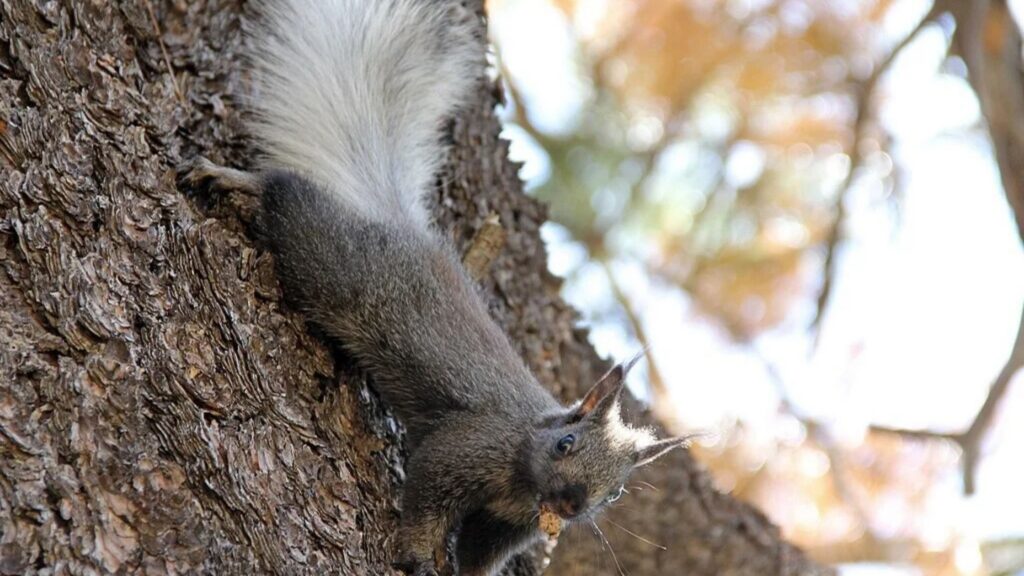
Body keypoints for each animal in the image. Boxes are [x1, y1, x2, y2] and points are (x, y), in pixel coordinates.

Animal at [180, 0, 692, 574]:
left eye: (617, 492)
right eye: (565, 443)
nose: (570, 504)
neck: (522, 476)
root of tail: (404, 229)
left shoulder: (505, 524)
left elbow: (477, 553)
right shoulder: (469, 445)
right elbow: (427, 494)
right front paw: (419, 555)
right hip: (334, 263)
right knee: (286, 195)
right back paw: (231, 178)